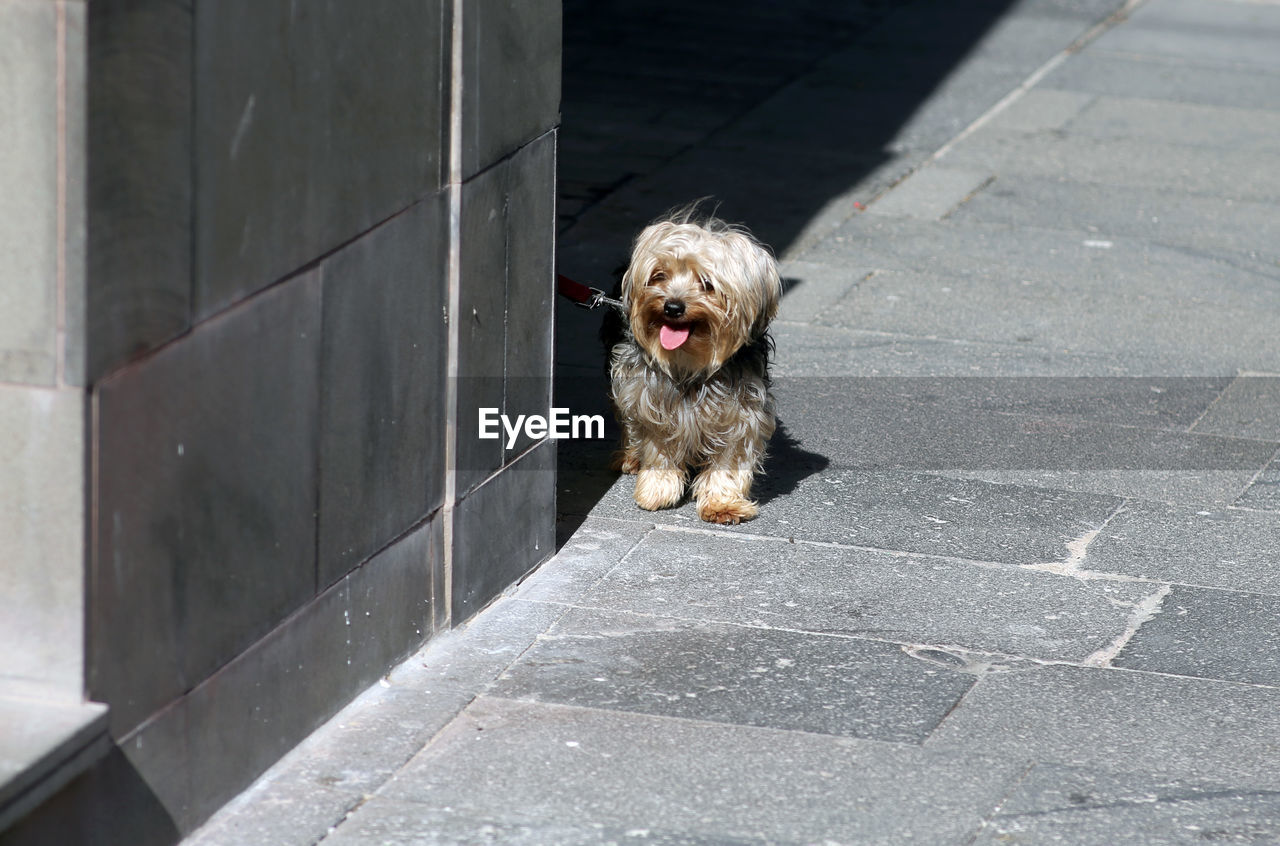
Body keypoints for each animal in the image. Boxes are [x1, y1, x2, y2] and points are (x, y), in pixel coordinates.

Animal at [606, 207, 783, 522]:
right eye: (659, 275)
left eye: (707, 284)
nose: (673, 307)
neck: (690, 365)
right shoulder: (649, 400)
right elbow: (657, 444)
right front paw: (657, 490)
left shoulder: (742, 412)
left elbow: (731, 457)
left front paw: (722, 503)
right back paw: (630, 457)